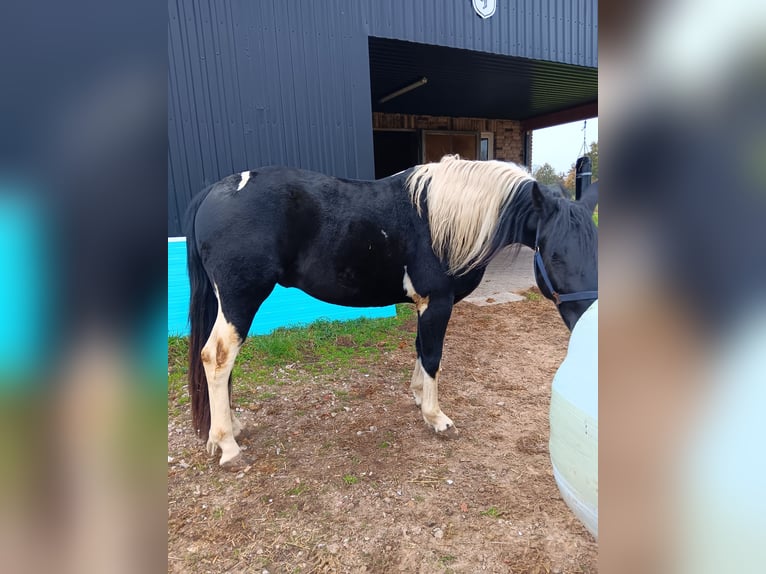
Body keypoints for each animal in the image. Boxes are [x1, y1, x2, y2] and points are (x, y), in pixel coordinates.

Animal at [186, 155, 600, 470]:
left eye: (595, 246)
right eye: (555, 254)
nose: (586, 322)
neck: (443, 219)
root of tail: (214, 191)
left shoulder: (425, 305)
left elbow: (419, 349)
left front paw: (418, 397)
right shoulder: (437, 302)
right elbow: (432, 356)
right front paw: (436, 418)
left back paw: (233, 427)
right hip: (241, 299)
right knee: (217, 357)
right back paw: (228, 446)